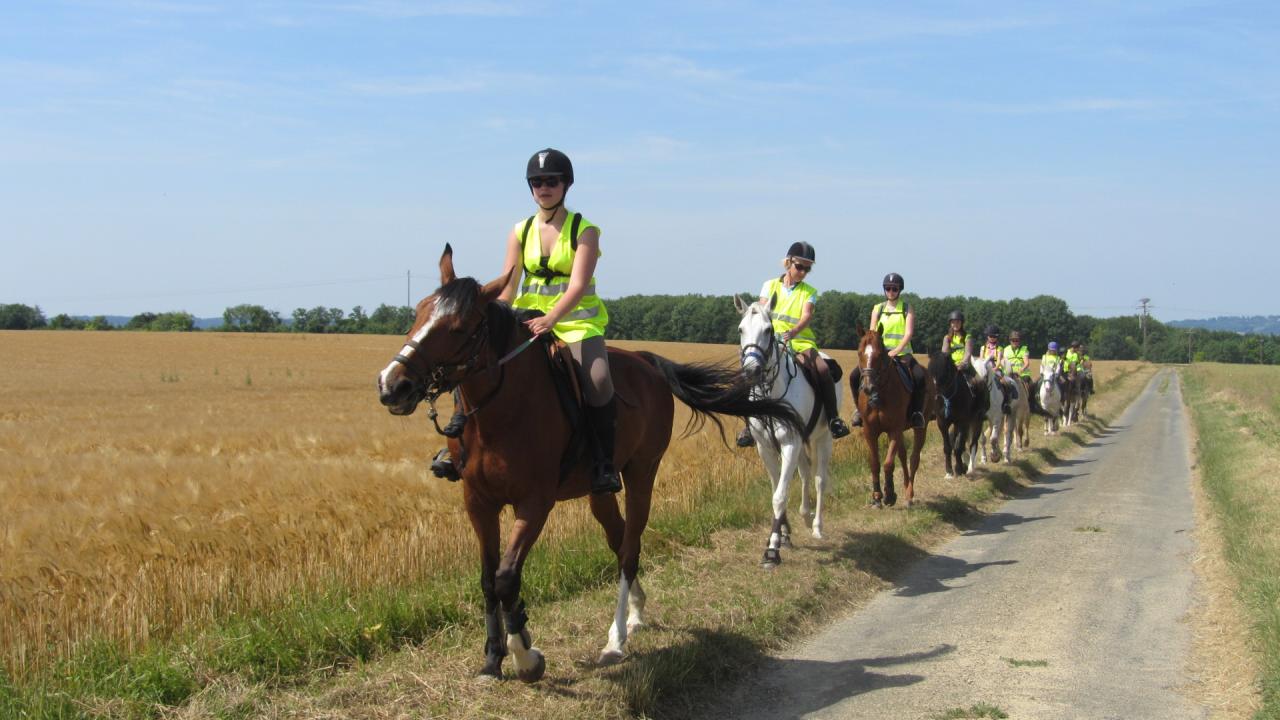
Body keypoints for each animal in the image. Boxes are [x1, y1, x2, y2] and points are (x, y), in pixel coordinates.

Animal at [373, 244, 803, 676]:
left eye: (459, 328)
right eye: (419, 312)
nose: (392, 385)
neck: (501, 412)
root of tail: (645, 360)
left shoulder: (535, 503)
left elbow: (507, 576)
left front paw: (526, 656)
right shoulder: (478, 502)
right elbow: (488, 579)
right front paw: (494, 657)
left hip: (642, 472)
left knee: (629, 547)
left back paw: (616, 638)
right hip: (600, 491)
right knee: (619, 538)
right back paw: (636, 610)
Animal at [737, 293, 844, 566]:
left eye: (768, 330)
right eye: (741, 329)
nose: (751, 371)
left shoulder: (789, 443)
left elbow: (780, 495)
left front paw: (772, 549)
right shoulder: (765, 447)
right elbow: (777, 488)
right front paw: (784, 534)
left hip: (823, 439)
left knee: (819, 479)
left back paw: (816, 526)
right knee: (805, 474)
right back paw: (805, 515)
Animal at [855, 325, 936, 504]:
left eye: (880, 354)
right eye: (859, 352)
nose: (868, 387)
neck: (880, 393)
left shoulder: (894, 430)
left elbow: (888, 463)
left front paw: (890, 494)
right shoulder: (870, 431)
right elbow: (875, 463)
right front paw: (877, 496)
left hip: (921, 427)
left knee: (914, 458)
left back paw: (909, 493)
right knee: (903, 456)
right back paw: (905, 487)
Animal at [926, 348, 983, 476]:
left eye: (945, 372)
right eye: (930, 372)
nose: (936, 396)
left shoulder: (963, 422)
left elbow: (958, 446)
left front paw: (959, 469)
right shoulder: (942, 423)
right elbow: (948, 447)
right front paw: (949, 471)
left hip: (977, 421)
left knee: (973, 443)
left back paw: (969, 466)